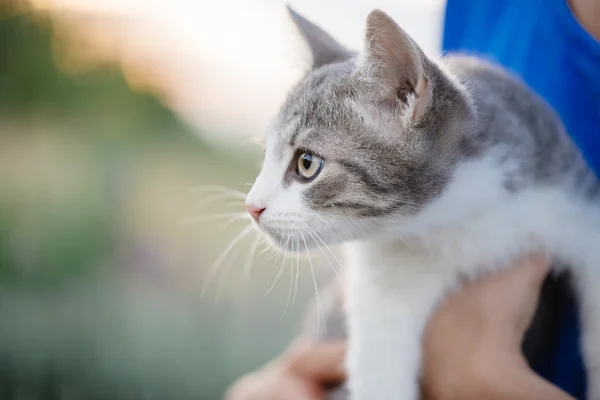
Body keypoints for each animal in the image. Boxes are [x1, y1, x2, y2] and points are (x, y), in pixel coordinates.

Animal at [243, 6, 600, 400]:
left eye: (307, 164)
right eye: (266, 156)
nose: (252, 206)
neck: (453, 215)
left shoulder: (569, 198)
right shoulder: (383, 285)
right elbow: (379, 372)